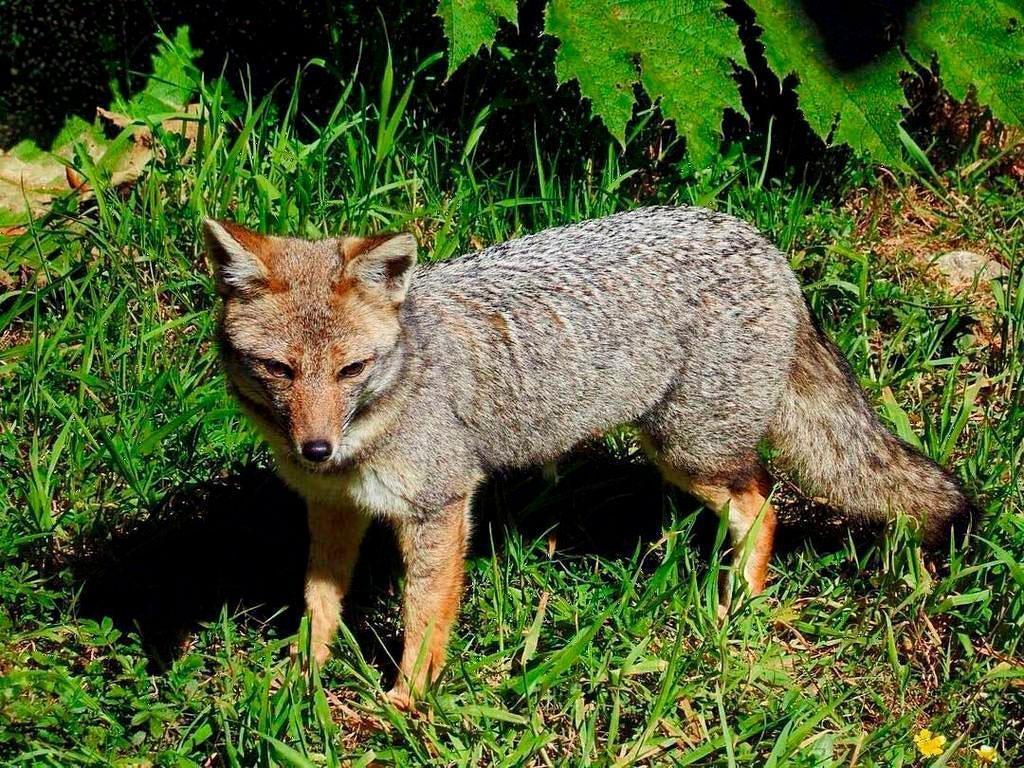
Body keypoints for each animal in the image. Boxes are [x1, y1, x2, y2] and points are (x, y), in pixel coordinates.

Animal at [201, 205, 974, 708]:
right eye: (279, 370)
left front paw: (404, 703)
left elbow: (423, 619)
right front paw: (303, 680)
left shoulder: (440, 507)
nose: (315, 447)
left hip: (688, 453)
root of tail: (761, 241)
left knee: (764, 502)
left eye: (351, 370)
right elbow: (319, 603)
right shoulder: (332, 508)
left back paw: (737, 612)